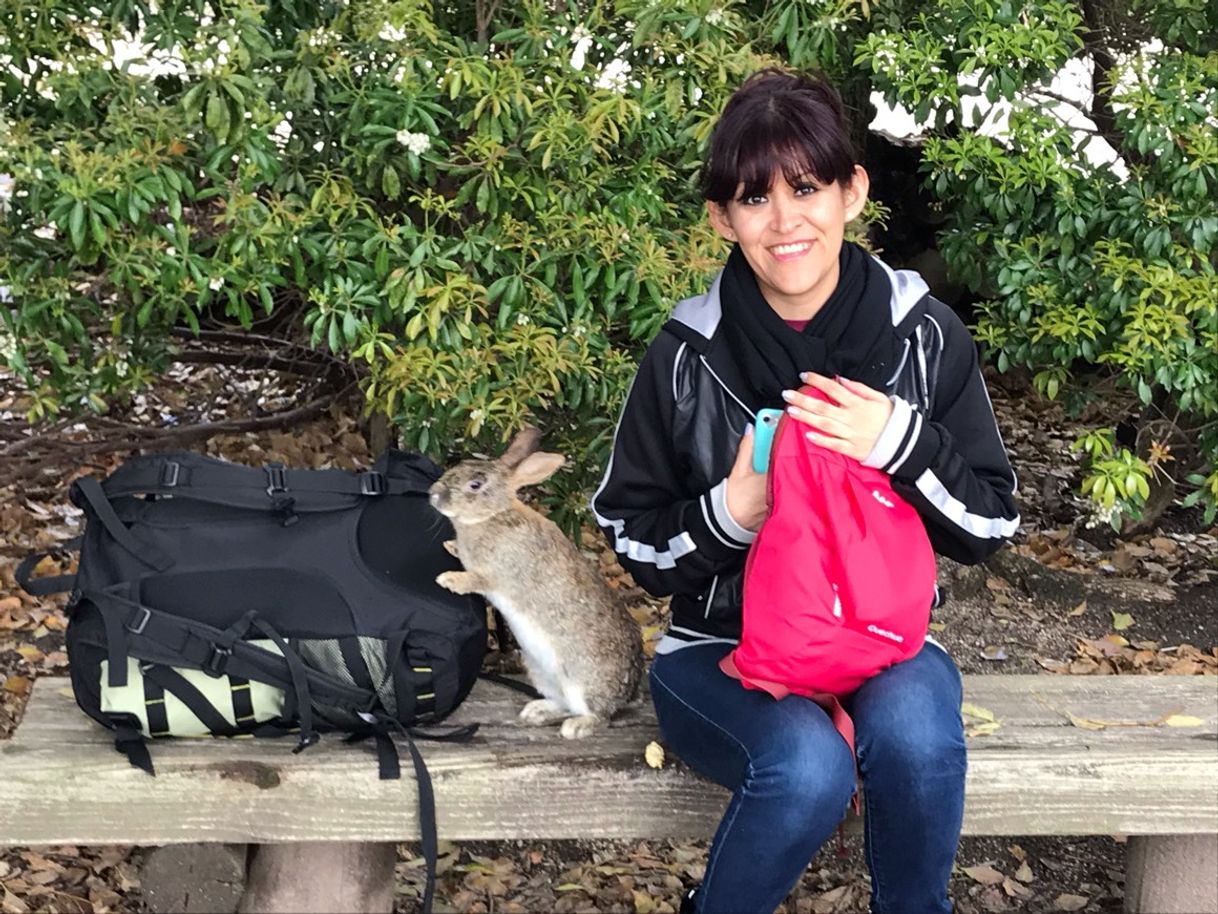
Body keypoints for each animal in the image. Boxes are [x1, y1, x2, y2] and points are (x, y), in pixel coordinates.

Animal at [428, 431, 643, 745]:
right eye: (460, 464)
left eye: (475, 485)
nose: (433, 494)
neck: (494, 514)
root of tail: (625, 696)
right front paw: (451, 546)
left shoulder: (496, 575)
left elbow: (476, 581)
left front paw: (448, 579)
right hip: (541, 672)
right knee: (564, 704)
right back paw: (536, 712)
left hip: (583, 682)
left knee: (598, 716)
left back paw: (576, 727)